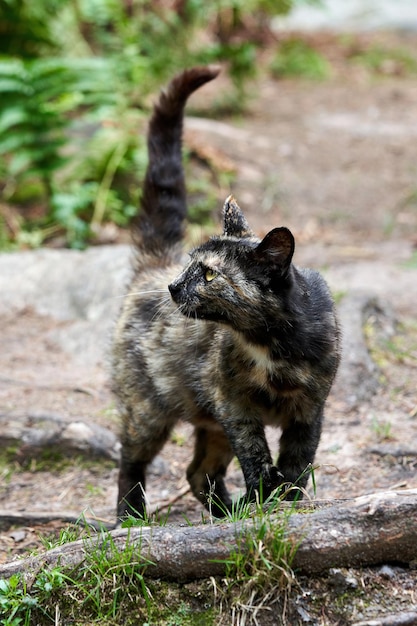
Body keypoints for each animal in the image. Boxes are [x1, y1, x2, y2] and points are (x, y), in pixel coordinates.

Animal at [110, 66, 338, 520]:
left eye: (211, 274)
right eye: (190, 264)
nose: (174, 286)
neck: (272, 344)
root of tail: (153, 269)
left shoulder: (310, 409)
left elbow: (298, 461)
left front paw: (284, 502)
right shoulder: (235, 405)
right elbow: (256, 455)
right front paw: (264, 497)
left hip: (209, 421)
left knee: (198, 472)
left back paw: (227, 512)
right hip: (147, 409)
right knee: (131, 460)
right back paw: (130, 518)